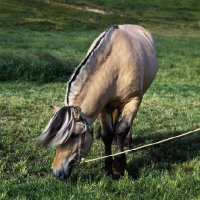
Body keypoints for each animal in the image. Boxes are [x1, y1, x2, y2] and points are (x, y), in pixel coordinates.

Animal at [39, 24, 158, 179]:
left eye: (75, 135)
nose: (56, 172)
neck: (117, 65)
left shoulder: (133, 101)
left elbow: (122, 129)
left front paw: (118, 167)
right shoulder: (103, 106)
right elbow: (107, 134)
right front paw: (108, 167)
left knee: (127, 125)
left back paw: (127, 144)